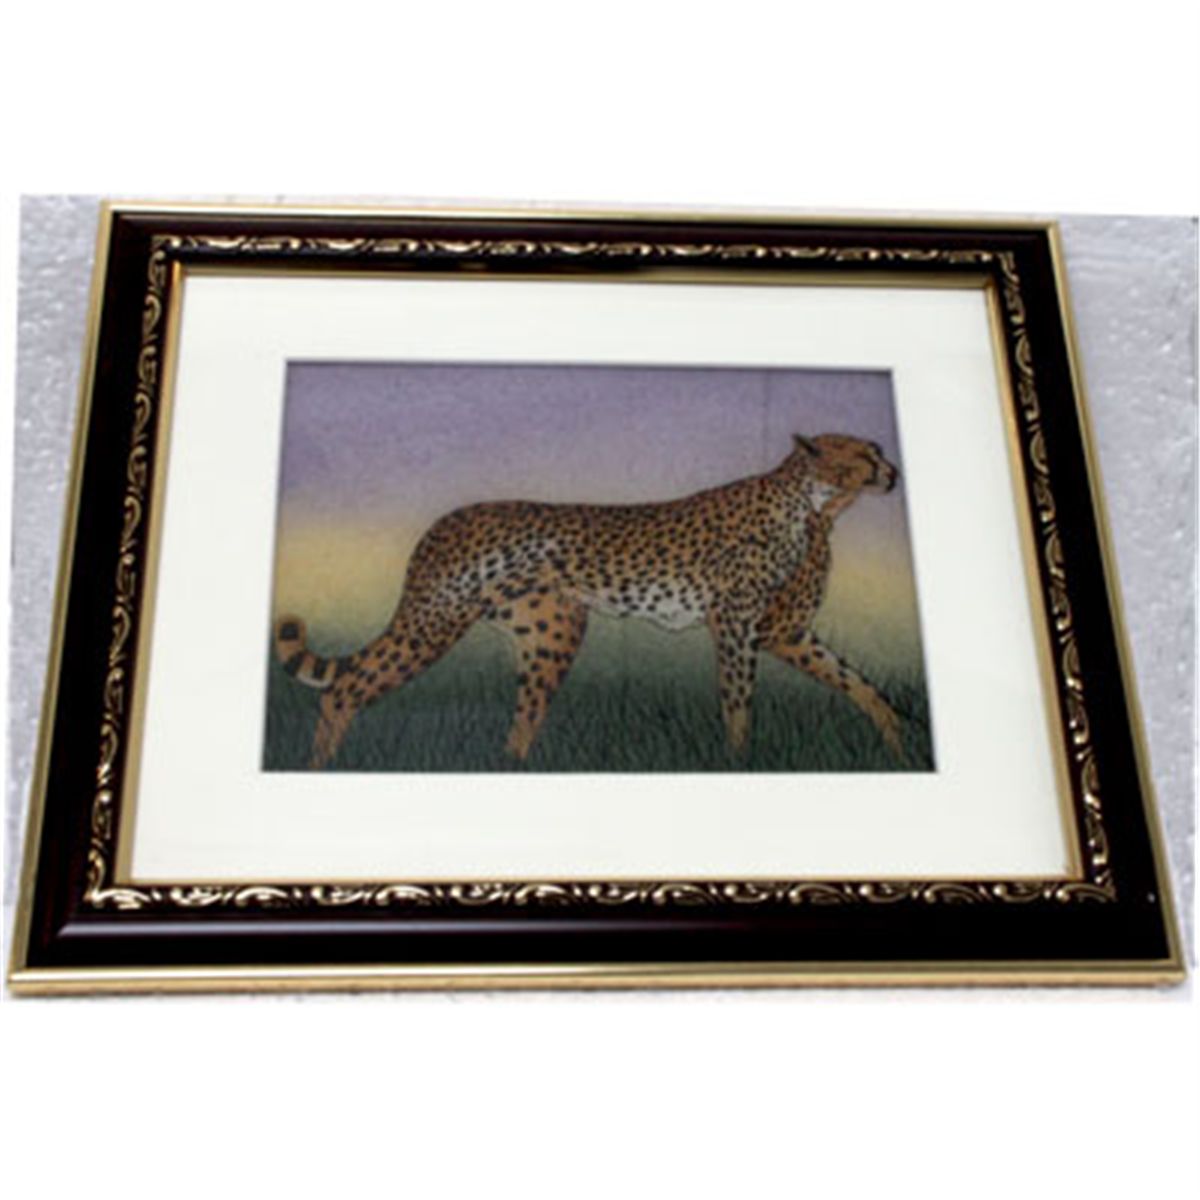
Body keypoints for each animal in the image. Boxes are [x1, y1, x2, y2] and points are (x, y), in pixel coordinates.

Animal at [274, 432, 906, 769]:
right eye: (865, 455)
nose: (894, 473)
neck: (810, 502)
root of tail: (445, 520)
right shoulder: (733, 623)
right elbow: (737, 699)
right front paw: (738, 760)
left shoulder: (783, 632)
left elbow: (860, 684)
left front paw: (897, 743)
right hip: (436, 619)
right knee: (347, 687)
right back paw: (319, 767)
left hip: (550, 631)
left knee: (521, 720)